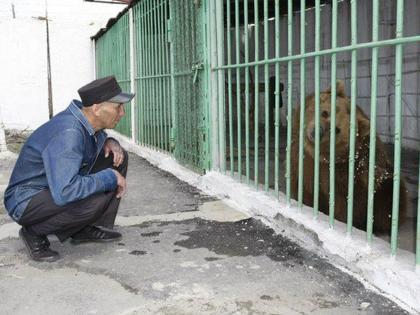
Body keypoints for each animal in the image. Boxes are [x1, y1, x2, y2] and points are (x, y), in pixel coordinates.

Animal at [290, 81, 406, 235]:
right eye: (325, 112)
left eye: (337, 129)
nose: (317, 132)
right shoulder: (302, 160)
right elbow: (303, 186)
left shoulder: (346, 177)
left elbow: (344, 205)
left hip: (385, 185)